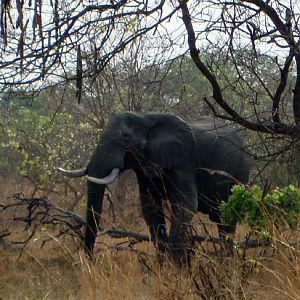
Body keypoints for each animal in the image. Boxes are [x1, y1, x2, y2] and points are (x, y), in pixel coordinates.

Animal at [58, 112, 248, 264]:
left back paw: (227, 263)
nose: (90, 263)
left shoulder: (184, 159)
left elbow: (185, 206)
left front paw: (176, 270)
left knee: (228, 218)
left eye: (126, 140)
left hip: (240, 175)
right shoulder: (144, 167)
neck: (145, 120)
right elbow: (150, 208)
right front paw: (163, 266)